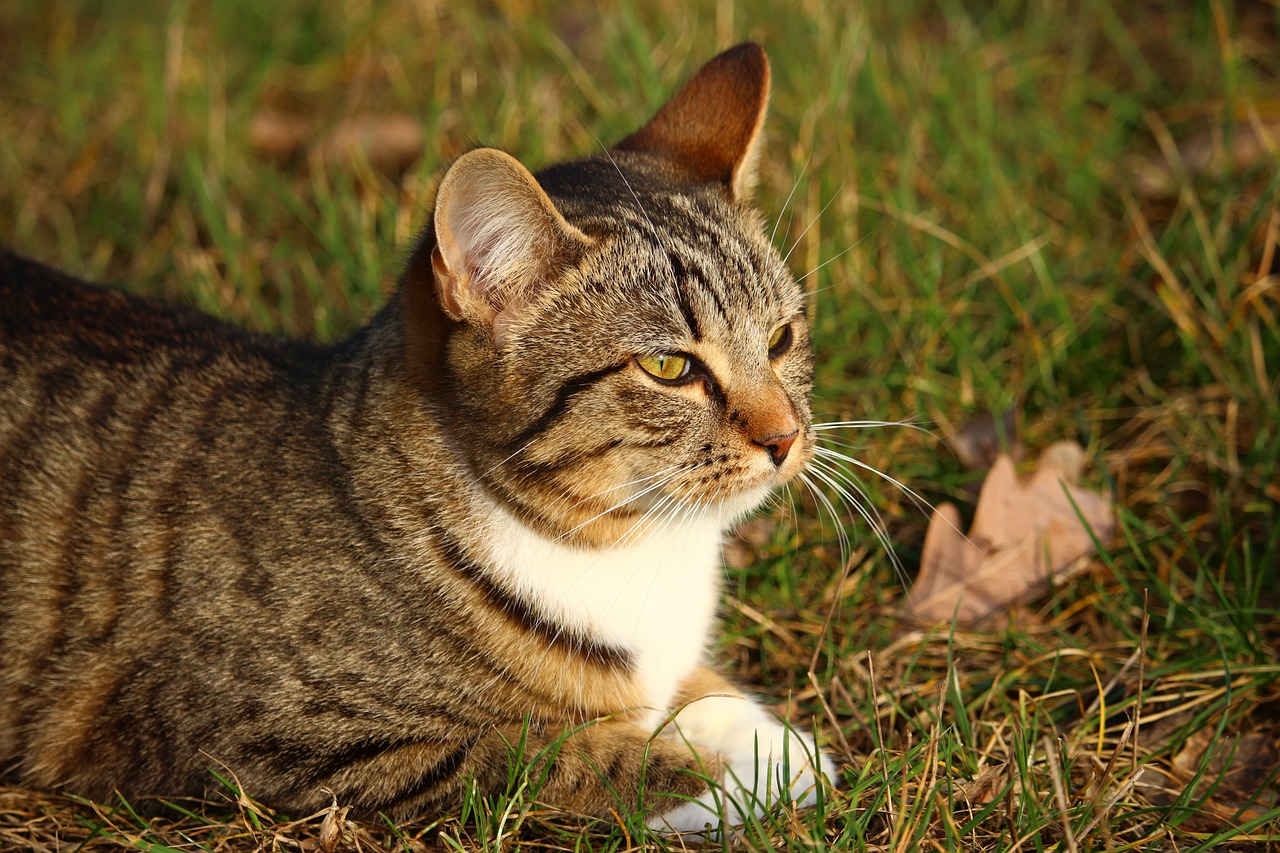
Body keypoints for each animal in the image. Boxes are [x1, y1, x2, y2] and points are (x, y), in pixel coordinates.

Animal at [0, 41, 829, 829]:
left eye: (781, 338)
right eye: (669, 366)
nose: (786, 437)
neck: (625, 545)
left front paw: (759, 734)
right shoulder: (292, 742)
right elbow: (547, 755)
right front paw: (734, 773)